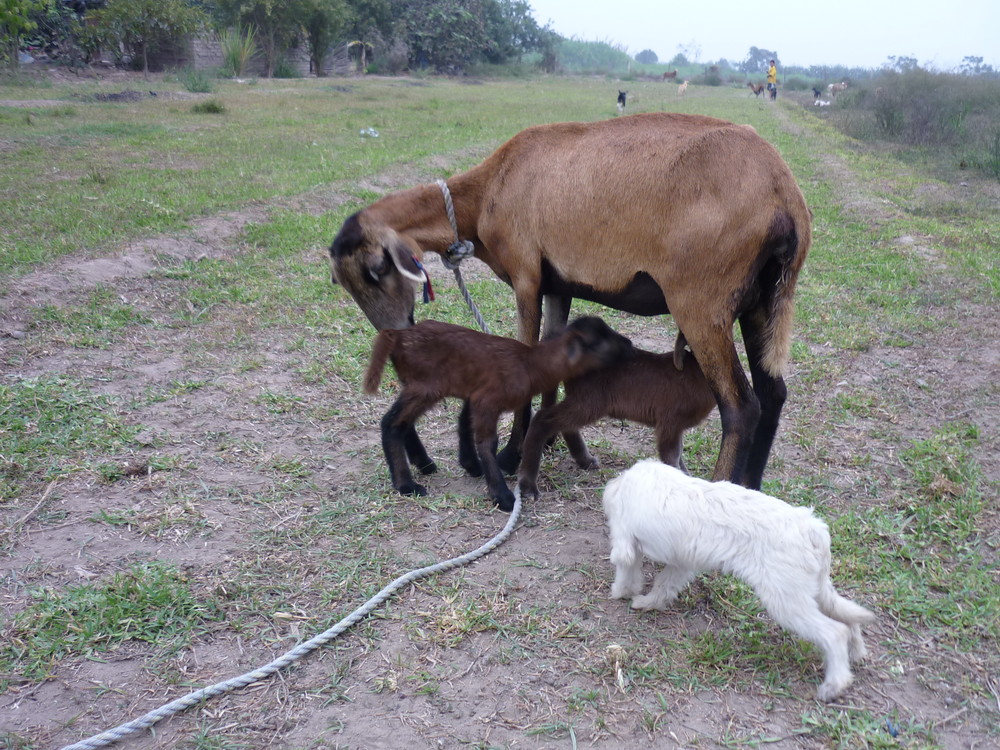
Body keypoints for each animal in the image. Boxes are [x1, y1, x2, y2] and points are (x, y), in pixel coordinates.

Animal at [328, 110, 812, 488]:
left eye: (375, 273)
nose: (396, 337)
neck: (485, 193)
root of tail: (785, 196)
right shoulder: (559, 285)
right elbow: (550, 359)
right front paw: (546, 445)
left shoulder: (526, 276)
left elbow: (525, 353)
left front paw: (508, 457)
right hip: (760, 302)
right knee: (773, 394)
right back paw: (751, 491)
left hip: (702, 303)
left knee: (741, 407)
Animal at [600, 462, 876, 704]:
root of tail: (812, 528)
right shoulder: (682, 563)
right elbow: (663, 585)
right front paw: (650, 603)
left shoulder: (625, 542)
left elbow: (627, 572)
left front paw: (621, 593)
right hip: (814, 592)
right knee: (848, 621)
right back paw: (856, 655)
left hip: (787, 602)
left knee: (835, 632)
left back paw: (834, 685)